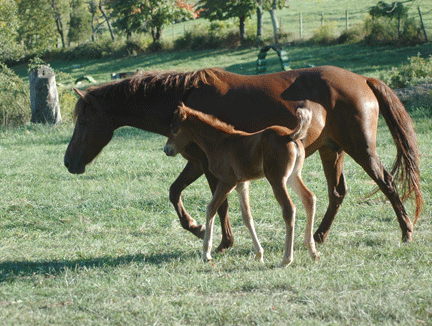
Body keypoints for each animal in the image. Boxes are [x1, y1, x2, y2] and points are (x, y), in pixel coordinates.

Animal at [64, 65, 422, 251]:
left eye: (83, 122)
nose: (69, 162)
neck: (185, 100)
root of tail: (362, 80)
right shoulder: (197, 162)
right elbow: (175, 192)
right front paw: (196, 228)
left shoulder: (212, 167)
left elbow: (218, 203)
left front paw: (222, 241)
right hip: (332, 151)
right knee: (337, 193)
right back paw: (318, 236)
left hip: (360, 149)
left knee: (387, 182)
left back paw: (406, 232)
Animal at [164, 104, 318, 268]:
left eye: (175, 129)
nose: (166, 149)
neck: (220, 142)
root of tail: (289, 136)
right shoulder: (242, 184)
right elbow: (247, 217)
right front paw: (259, 254)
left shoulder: (227, 181)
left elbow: (211, 208)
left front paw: (206, 254)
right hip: (293, 176)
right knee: (309, 198)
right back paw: (313, 252)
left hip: (277, 179)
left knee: (289, 209)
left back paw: (286, 259)